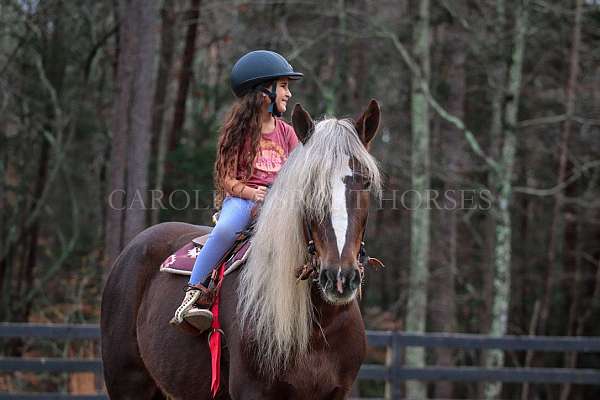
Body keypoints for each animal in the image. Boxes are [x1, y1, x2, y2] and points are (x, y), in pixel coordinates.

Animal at [99, 101, 380, 400]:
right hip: (128, 382)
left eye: (365, 182)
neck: (320, 327)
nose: (339, 277)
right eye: (308, 186)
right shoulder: (253, 391)